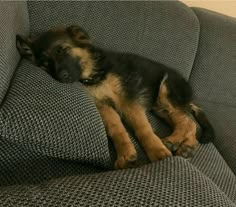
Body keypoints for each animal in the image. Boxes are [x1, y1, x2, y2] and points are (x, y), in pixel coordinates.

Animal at [15, 25, 215, 169]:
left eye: (62, 50)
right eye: (44, 64)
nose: (61, 77)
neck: (94, 74)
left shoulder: (128, 100)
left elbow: (142, 128)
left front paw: (156, 150)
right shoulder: (103, 105)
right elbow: (115, 128)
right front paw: (126, 154)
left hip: (166, 91)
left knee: (188, 122)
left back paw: (175, 142)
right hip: (160, 107)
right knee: (188, 123)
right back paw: (186, 145)